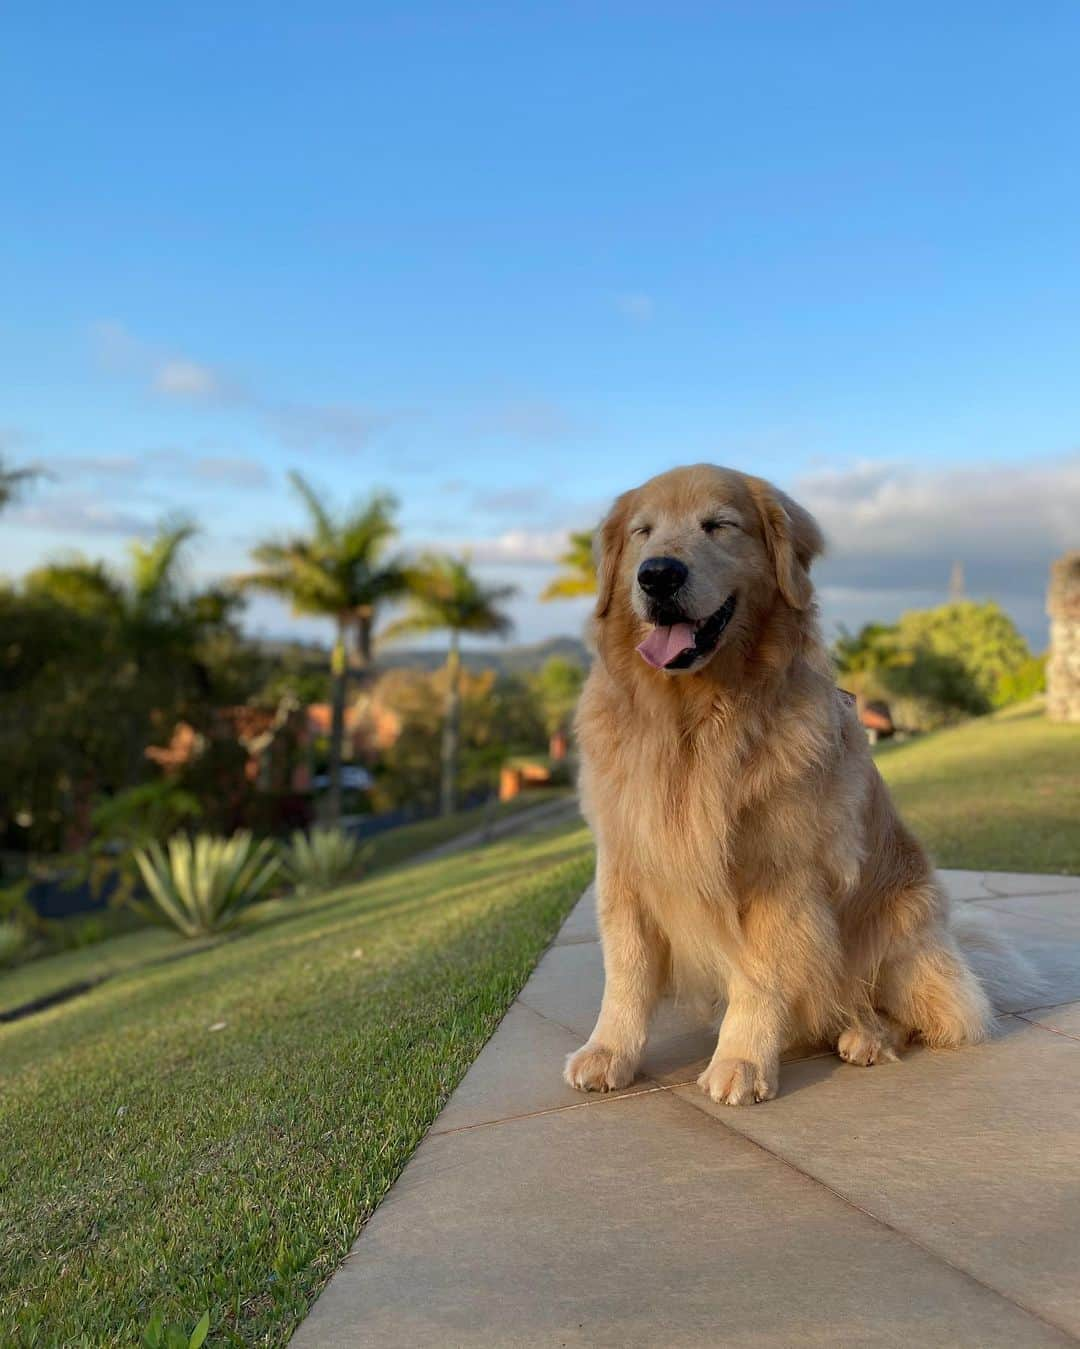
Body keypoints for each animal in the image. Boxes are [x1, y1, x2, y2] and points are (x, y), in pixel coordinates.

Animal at [560, 464, 1030, 1106]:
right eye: (642, 532)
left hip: (903, 931)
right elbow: (626, 973)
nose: (657, 574)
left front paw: (741, 1060)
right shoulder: (627, 860)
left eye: (719, 525)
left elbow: (759, 976)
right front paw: (609, 1051)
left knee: (922, 1013)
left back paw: (868, 1036)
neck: (694, 723)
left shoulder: (780, 871)